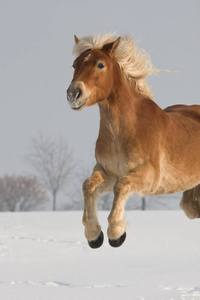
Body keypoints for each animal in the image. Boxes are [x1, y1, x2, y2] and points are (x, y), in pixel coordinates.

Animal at [66, 33, 200, 248]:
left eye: (100, 65)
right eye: (74, 64)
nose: (73, 95)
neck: (123, 131)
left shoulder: (150, 175)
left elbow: (121, 186)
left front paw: (116, 233)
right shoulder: (107, 171)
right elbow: (88, 185)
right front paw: (94, 235)